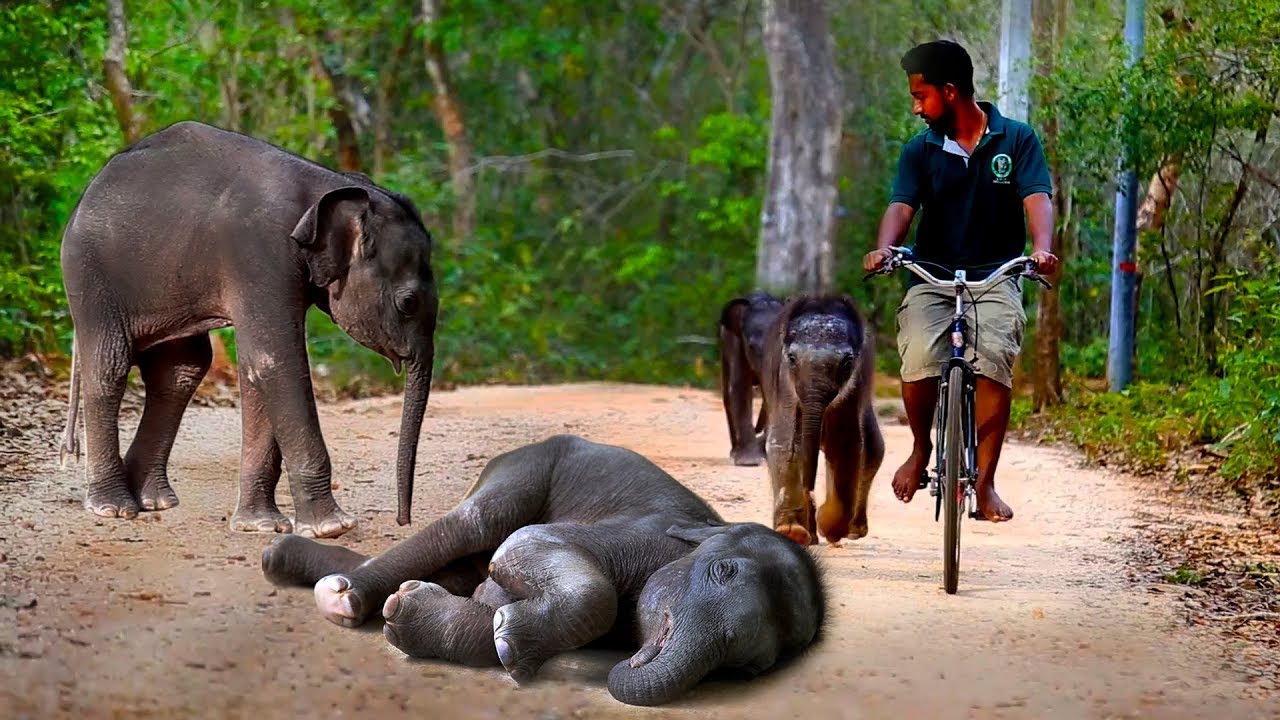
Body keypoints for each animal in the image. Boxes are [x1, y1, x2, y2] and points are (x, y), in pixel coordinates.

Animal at [57, 121, 437, 539]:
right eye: (408, 303)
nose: (404, 520)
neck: (328, 185)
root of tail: (86, 192)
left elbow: (260, 367)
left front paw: (261, 526)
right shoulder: (260, 255)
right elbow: (278, 362)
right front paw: (330, 528)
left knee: (182, 370)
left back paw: (153, 500)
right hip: (90, 275)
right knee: (109, 366)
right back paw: (114, 508)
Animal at [260, 434, 825, 707]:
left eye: (750, 668)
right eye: (723, 571)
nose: (631, 659)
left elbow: (489, 604)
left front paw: (419, 612)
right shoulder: (645, 535)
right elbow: (528, 544)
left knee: (464, 562)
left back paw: (293, 564)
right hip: (530, 464)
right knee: (476, 523)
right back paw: (341, 596)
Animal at [718, 290, 784, 466]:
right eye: (751, 346)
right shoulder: (737, 344)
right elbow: (740, 387)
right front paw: (749, 461)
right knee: (727, 394)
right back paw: (734, 452)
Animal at [759, 295, 885, 547]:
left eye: (847, 362)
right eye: (791, 358)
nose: (809, 491)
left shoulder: (855, 389)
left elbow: (845, 446)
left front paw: (830, 528)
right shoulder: (783, 382)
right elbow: (785, 443)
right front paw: (792, 532)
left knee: (873, 450)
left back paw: (851, 531)